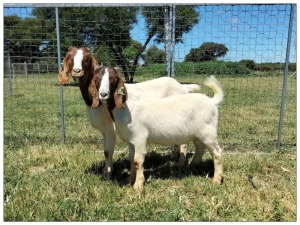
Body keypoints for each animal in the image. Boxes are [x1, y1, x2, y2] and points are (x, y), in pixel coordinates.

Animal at [57, 47, 200, 178]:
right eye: (69, 58)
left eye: (86, 59)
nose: (77, 71)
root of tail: (182, 87)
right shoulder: (104, 130)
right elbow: (106, 150)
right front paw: (105, 170)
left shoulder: (110, 128)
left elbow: (108, 151)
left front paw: (108, 174)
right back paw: (173, 157)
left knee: (184, 143)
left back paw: (180, 163)